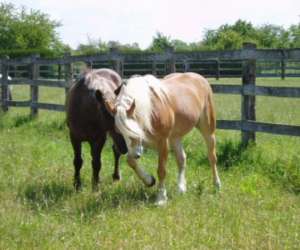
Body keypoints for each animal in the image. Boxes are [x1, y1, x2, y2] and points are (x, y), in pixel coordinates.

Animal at [98, 72, 220, 205]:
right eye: (119, 131)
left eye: (133, 129)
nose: (136, 154)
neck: (150, 110)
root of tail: (200, 78)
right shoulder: (140, 144)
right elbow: (130, 161)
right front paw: (149, 180)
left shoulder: (162, 142)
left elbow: (161, 170)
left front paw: (161, 198)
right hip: (175, 137)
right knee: (182, 159)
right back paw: (181, 188)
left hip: (208, 130)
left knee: (212, 157)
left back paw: (216, 185)